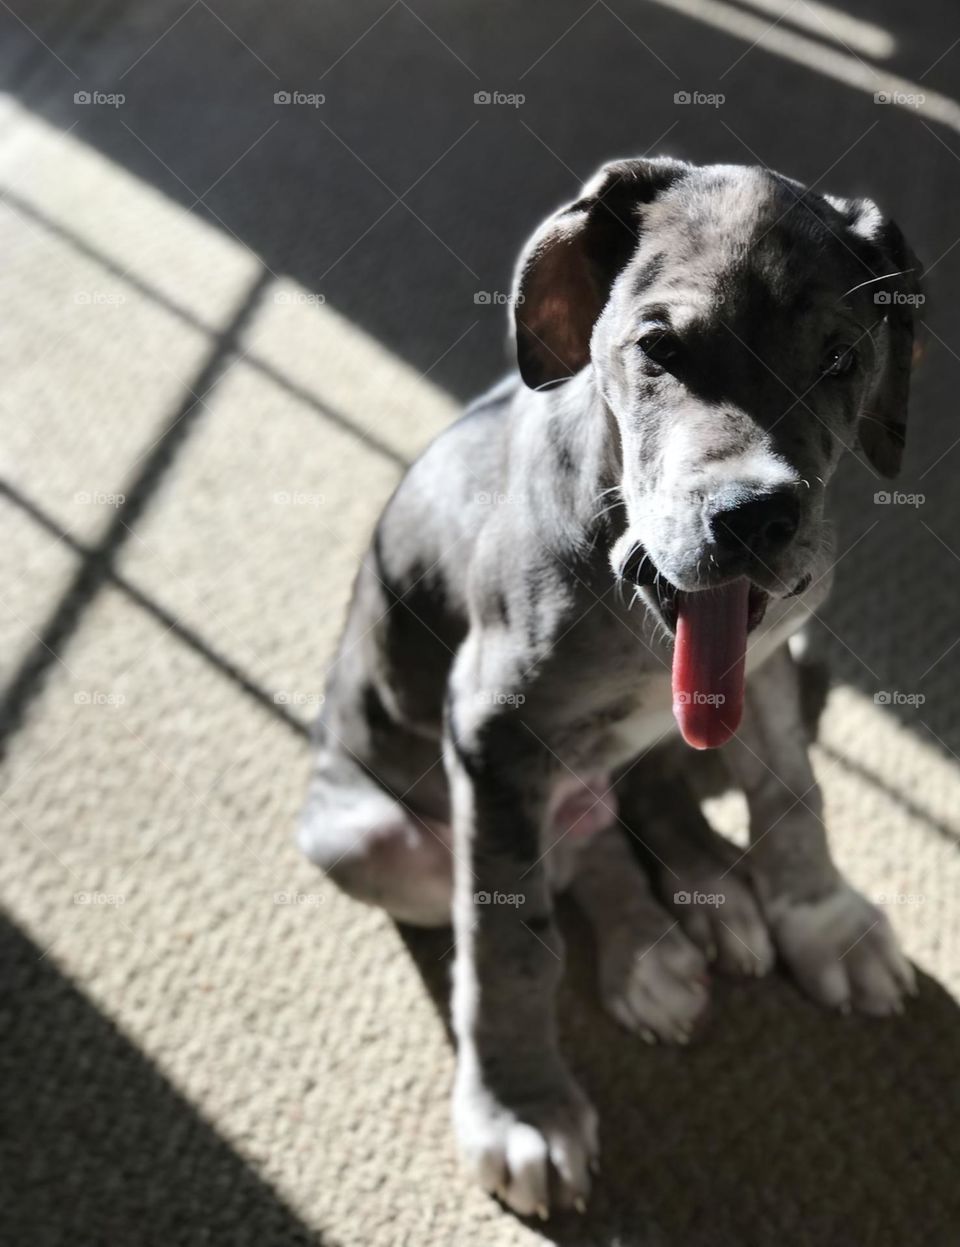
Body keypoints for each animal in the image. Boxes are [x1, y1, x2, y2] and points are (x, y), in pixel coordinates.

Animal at [299, 158, 917, 1217]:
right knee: (565, 855)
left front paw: (821, 918)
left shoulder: (766, 660)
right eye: (659, 350)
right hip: (374, 840)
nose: (756, 519)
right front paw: (521, 1108)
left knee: (641, 796)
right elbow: (507, 945)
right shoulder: (494, 734)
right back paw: (650, 946)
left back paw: (706, 893)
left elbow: (793, 790)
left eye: (842, 358)